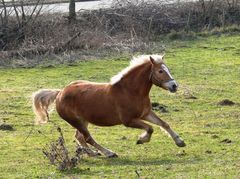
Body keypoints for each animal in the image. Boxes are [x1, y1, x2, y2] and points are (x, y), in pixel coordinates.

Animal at [31, 54, 186, 157]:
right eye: (160, 71)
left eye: (167, 69)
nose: (174, 86)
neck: (130, 91)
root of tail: (60, 93)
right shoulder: (128, 121)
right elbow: (150, 128)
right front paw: (141, 140)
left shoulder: (146, 113)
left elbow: (164, 124)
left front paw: (180, 141)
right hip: (76, 121)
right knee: (87, 138)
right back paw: (108, 153)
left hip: (83, 121)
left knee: (80, 137)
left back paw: (92, 153)